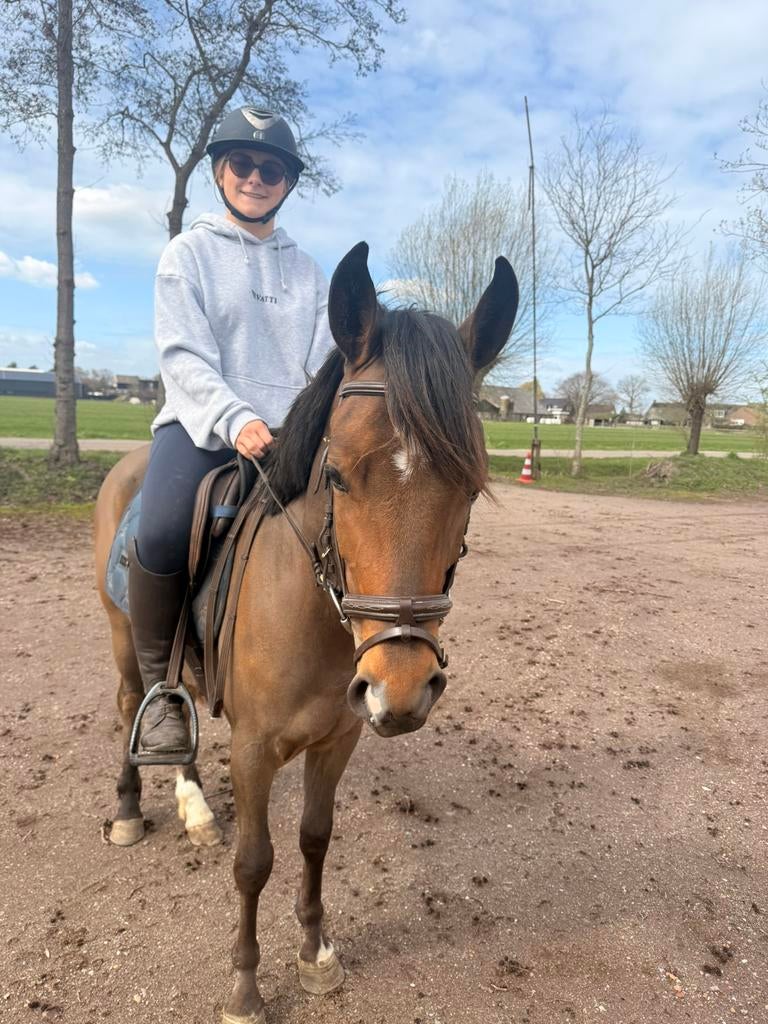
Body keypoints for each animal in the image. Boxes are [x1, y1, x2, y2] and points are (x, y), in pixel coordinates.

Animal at [93, 241, 519, 1023]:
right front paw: (245, 986)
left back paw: (194, 807)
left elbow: (314, 839)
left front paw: (316, 953)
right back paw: (132, 812)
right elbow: (254, 861)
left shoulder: (338, 739)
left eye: (472, 484)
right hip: (122, 637)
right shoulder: (256, 749)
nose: (402, 686)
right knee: (134, 703)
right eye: (339, 475)